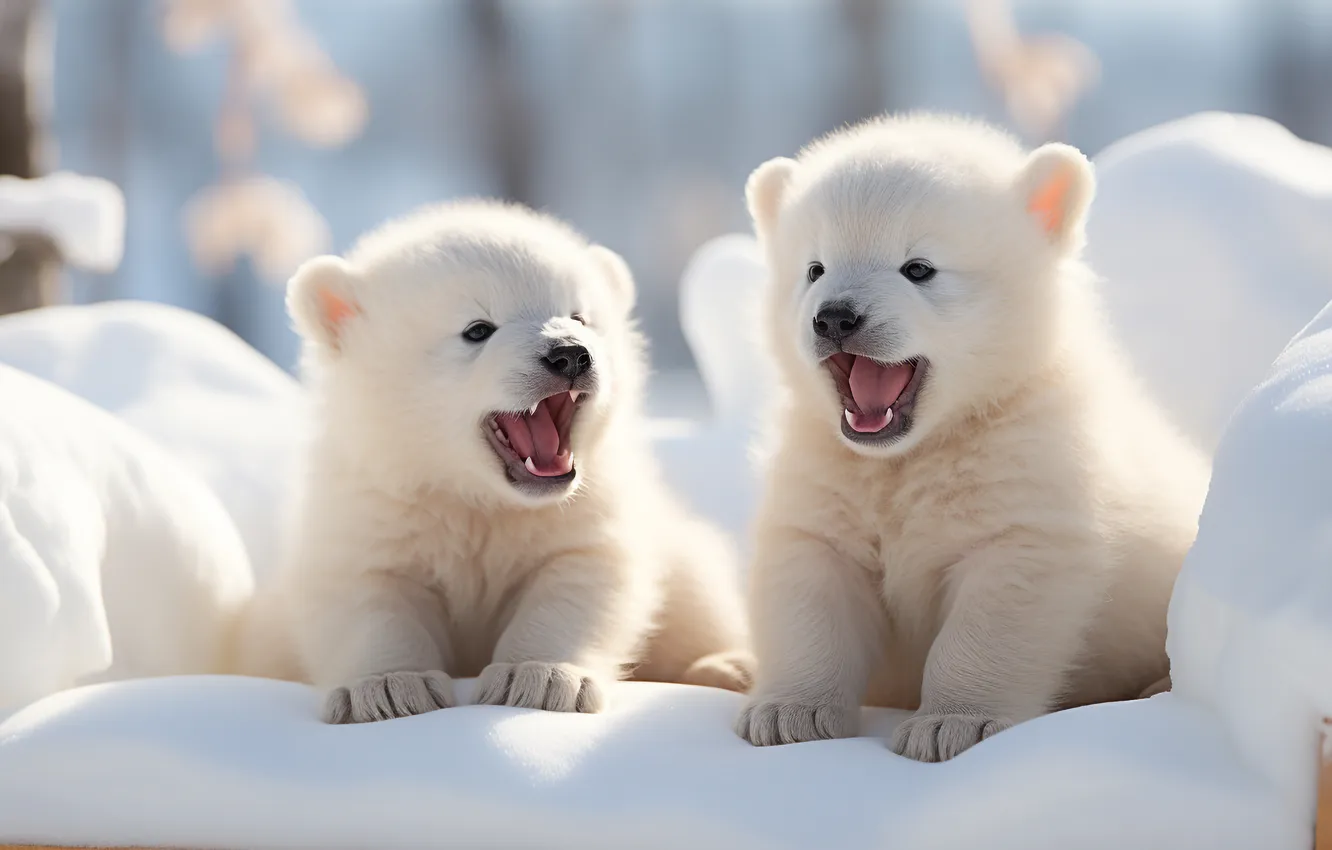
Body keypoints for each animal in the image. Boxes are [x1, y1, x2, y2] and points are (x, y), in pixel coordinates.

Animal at [247, 200, 751, 722]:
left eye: (579, 316)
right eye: (478, 329)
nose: (570, 355)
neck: (476, 493)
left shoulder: (585, 507)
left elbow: (578, 578)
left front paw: (537, 678)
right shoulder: (375, 501)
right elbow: (367, 594)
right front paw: (387, 689)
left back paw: (726, 666)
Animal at [734, 113, 1210, 761]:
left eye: (918, 267)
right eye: (814, 268)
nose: (834, 317)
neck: (918, 447)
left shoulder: (1028, 474)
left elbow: (998, 606)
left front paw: (952, 724)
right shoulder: (827, 471)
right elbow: (811, 579)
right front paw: (788, 712)